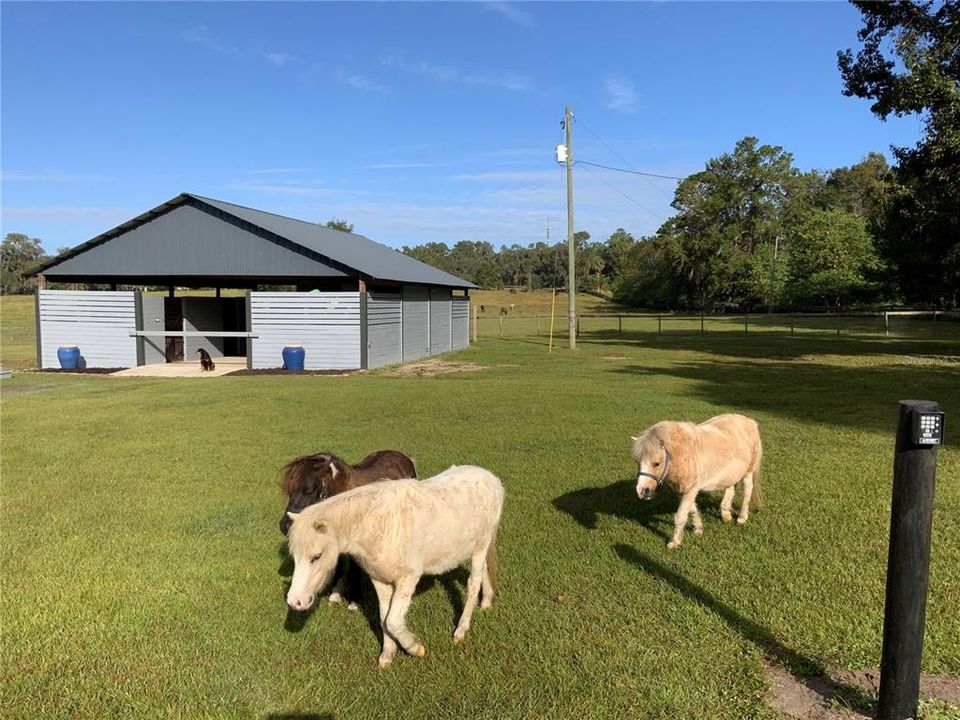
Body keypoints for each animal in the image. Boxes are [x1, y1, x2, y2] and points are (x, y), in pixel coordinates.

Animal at [284, 464, 506, 668]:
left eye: (316, 556)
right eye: (294, 556)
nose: (295, 601)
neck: (379, 526)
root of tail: (491, 478)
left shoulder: (407, 579)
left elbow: (393, 621)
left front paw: (414, 647)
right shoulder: (380, 580)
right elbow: (384, 618)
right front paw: (387, 655)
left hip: (480, 546)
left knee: (473, 583)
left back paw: (461, 629)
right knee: (485, 570)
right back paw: (486, 601)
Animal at [632, 414, 764, 548]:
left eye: (657, 463)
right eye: (637, 462)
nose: (642, 491)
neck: (683, 453)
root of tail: (750, 421)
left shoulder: (690, 489)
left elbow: (680, 517)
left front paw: (674, 542)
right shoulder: (683, 489)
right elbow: (692, 509)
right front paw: (698, 529)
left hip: (748, 472)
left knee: (747, 491)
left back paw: (742, 517)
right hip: (731, 473)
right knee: (730, 488)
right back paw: (726, 514)